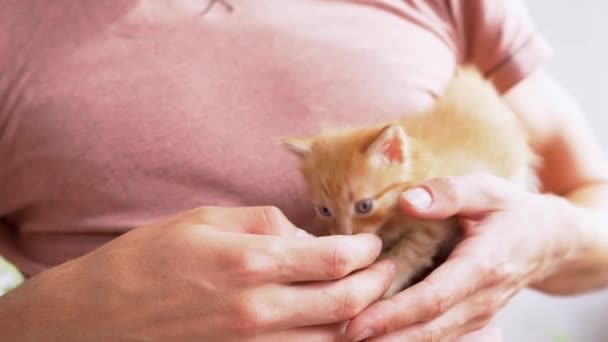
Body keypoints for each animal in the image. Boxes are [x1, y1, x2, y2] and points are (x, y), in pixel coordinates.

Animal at [280, 67, 536, 296]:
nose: (345, 234)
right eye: (325, 210)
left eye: (364, 206)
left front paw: (389, 282)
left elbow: (409, 253)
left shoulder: (434, 223)